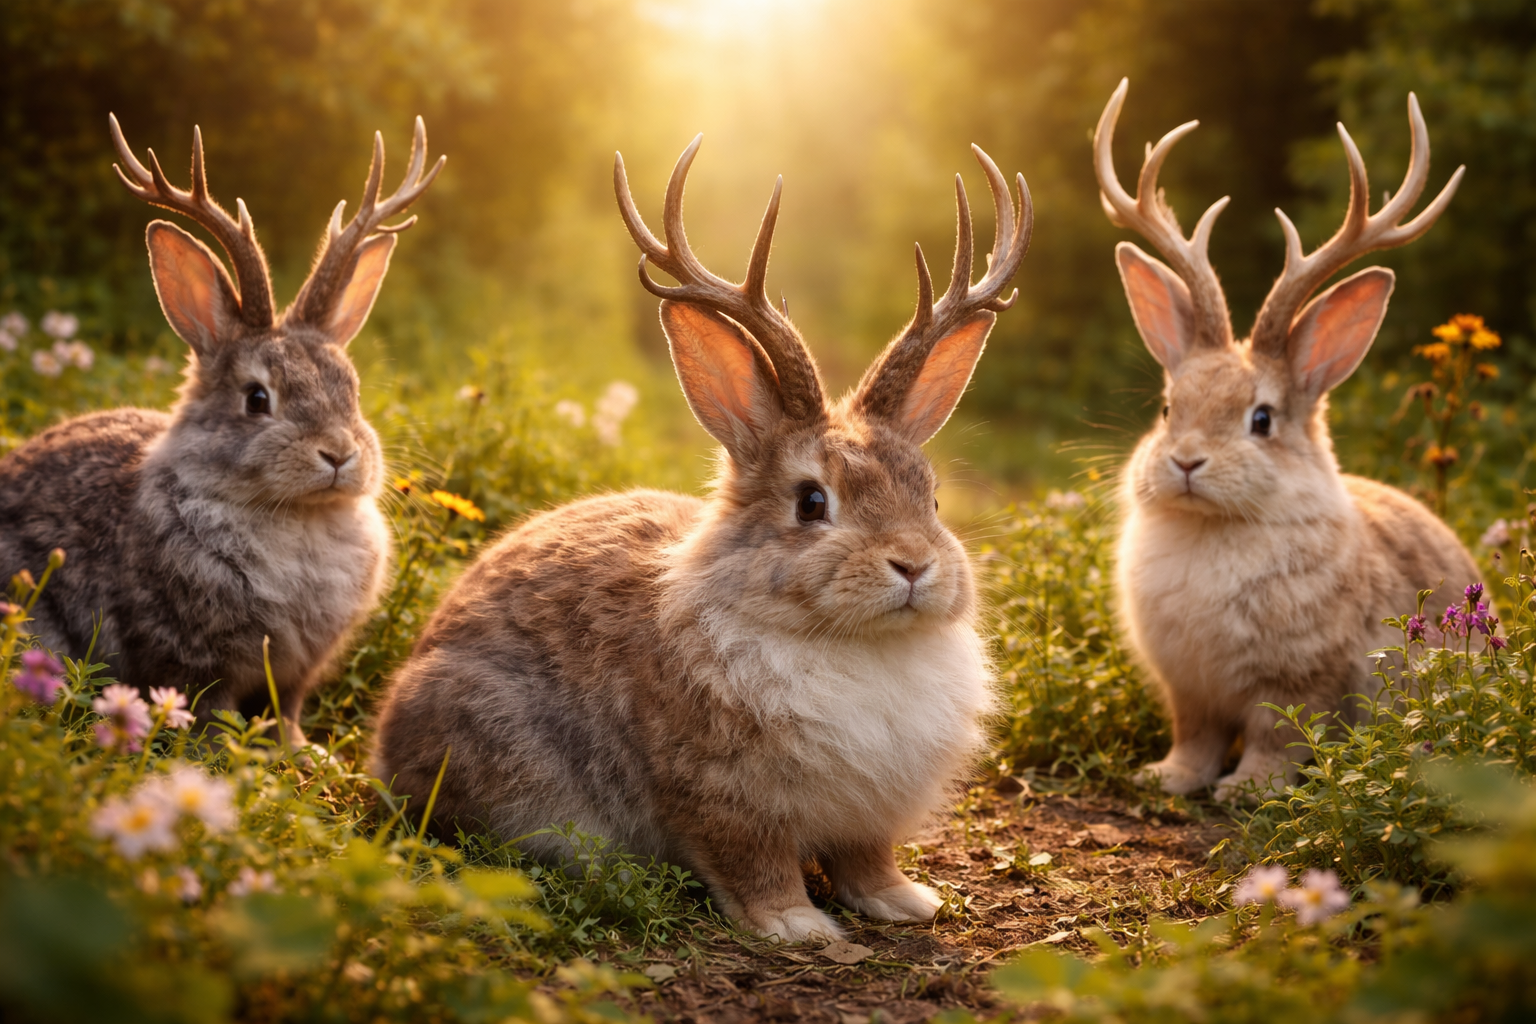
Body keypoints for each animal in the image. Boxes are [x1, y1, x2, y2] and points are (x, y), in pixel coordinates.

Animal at [0, 115, 443, 745]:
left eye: (351, 390)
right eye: (257, 399)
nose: (338, 454)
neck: (296, 519)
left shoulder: (298, 673)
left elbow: (289, 707)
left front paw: (305, 751)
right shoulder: (192, 657)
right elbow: (208, 709)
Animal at [371, 137, 1032, 942]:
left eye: (931, 496)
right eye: (812, 502)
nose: (914, 565)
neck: (856, 646)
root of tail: (388, 734)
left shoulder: (869, 816)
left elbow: (865, 858)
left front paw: (905, 903)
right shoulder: (722, 797)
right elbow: (753, 862)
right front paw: (800, 928)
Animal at [1093, 80, 1480, 801]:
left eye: (1263, 419)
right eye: (1167, 408)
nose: (1185, 462)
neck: (1213, 530)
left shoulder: (1299, 684)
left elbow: (1279, 735)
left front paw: (1248, 791)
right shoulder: (1188, 692)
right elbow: (1196, 736)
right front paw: (1168, 779)